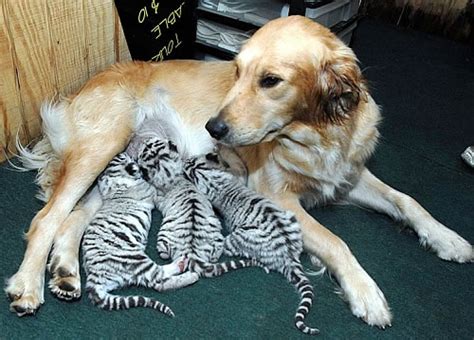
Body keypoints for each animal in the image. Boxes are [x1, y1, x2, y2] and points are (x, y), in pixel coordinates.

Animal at [5, 16, 472, 326]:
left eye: (270, 80)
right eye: (236, 70)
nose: (213, 128)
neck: (317, 132)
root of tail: (78, 90)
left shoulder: (347, 175)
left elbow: (407, 201)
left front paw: (447, 238)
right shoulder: (276, 195)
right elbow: (336, 242)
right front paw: (366, 292)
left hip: (117, 172)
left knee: (73, 219)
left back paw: (66, 272)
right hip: (104, 145)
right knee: (48, 218)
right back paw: (29, 284)